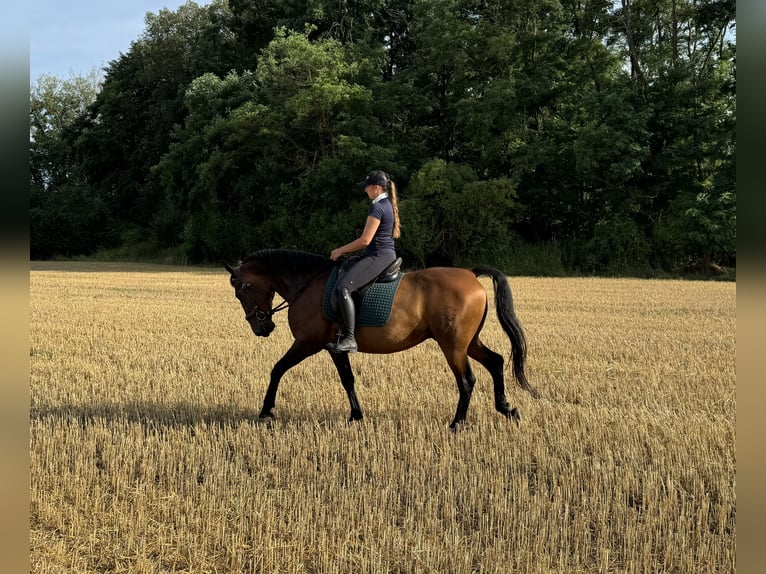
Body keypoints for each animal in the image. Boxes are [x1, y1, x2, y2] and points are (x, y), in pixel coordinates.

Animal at [226, 250, 540, 430]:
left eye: (240, 291)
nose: (261, 327)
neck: (308, 284)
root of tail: (471, 275)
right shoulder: (333, 348)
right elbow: (347, 379)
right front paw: (355, 416)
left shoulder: (309, 343)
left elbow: (278, 369)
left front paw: (266, 410)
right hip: (468, 343)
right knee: (496, 362)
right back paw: (506, 408)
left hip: (453, 346)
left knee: (466, 380)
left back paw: (457, 424)